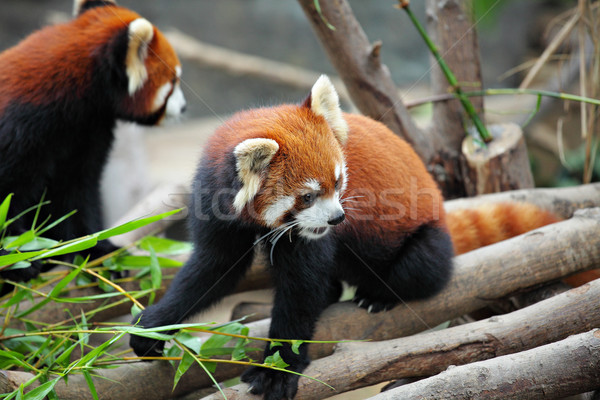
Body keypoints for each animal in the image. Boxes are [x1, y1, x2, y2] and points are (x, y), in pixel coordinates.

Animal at [0, 0, 185, 282]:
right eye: (173, 81)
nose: (184, 107)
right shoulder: (19, 130)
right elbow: (8, 197)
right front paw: (16, 258)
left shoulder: (86, 131)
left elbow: (76, 195)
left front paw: (94, 248)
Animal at [130, 76, 564, 400]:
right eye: (307, 196)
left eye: (338, 183)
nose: (338, 217)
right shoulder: (217, 208)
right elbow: (211, 270)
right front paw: (154, 324)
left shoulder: (309, 235)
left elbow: (300, 289)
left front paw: (278, 369)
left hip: (428, 239)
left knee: (421, 268)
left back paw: (379, 294)